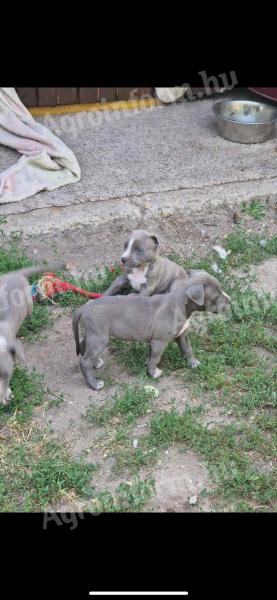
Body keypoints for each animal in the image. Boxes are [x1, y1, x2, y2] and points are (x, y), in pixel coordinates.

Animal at [72, 270, 230, 392]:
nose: (231, 301)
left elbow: (187, 349)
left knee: (84, 346)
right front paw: (153, 373)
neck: (180, 304)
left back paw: (96, 362)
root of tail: (84, 307)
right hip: (99, 337)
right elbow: (155, 358)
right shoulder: (159, 342)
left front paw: (193, 363)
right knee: (84, 361)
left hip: (93, 334)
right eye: (217, 296)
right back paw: (94, 384)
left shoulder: (182, 335)